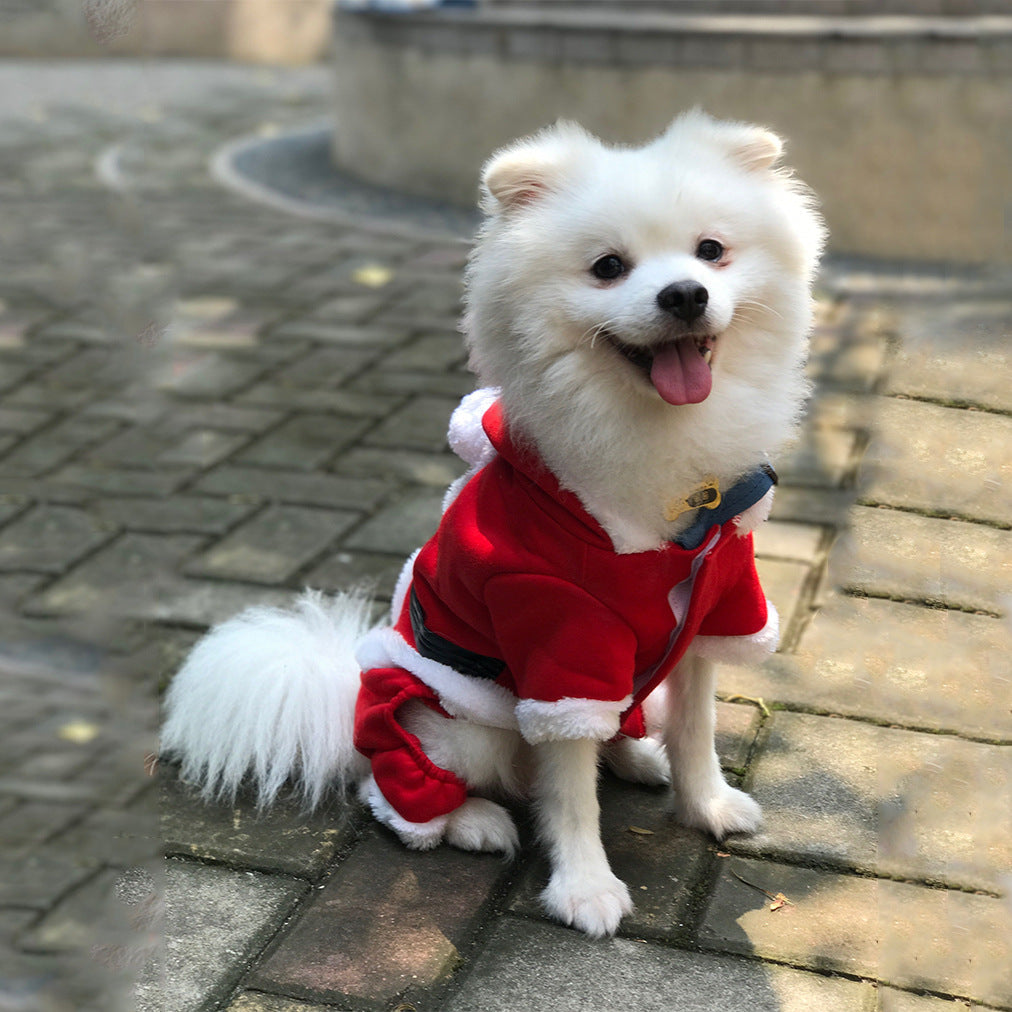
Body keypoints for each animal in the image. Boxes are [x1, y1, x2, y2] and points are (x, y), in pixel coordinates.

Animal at [161, 106, 825, 935]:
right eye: (608, 267)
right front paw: (584, 889)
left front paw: (704, 803)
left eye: (712, 251)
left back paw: (637, 754)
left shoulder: (716, 600)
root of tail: (347, 692)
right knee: (396, 789)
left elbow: (696, 725)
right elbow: (569, 791)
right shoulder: (558, 633)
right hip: (456, 724)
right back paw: (473, 820)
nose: (684, 294)